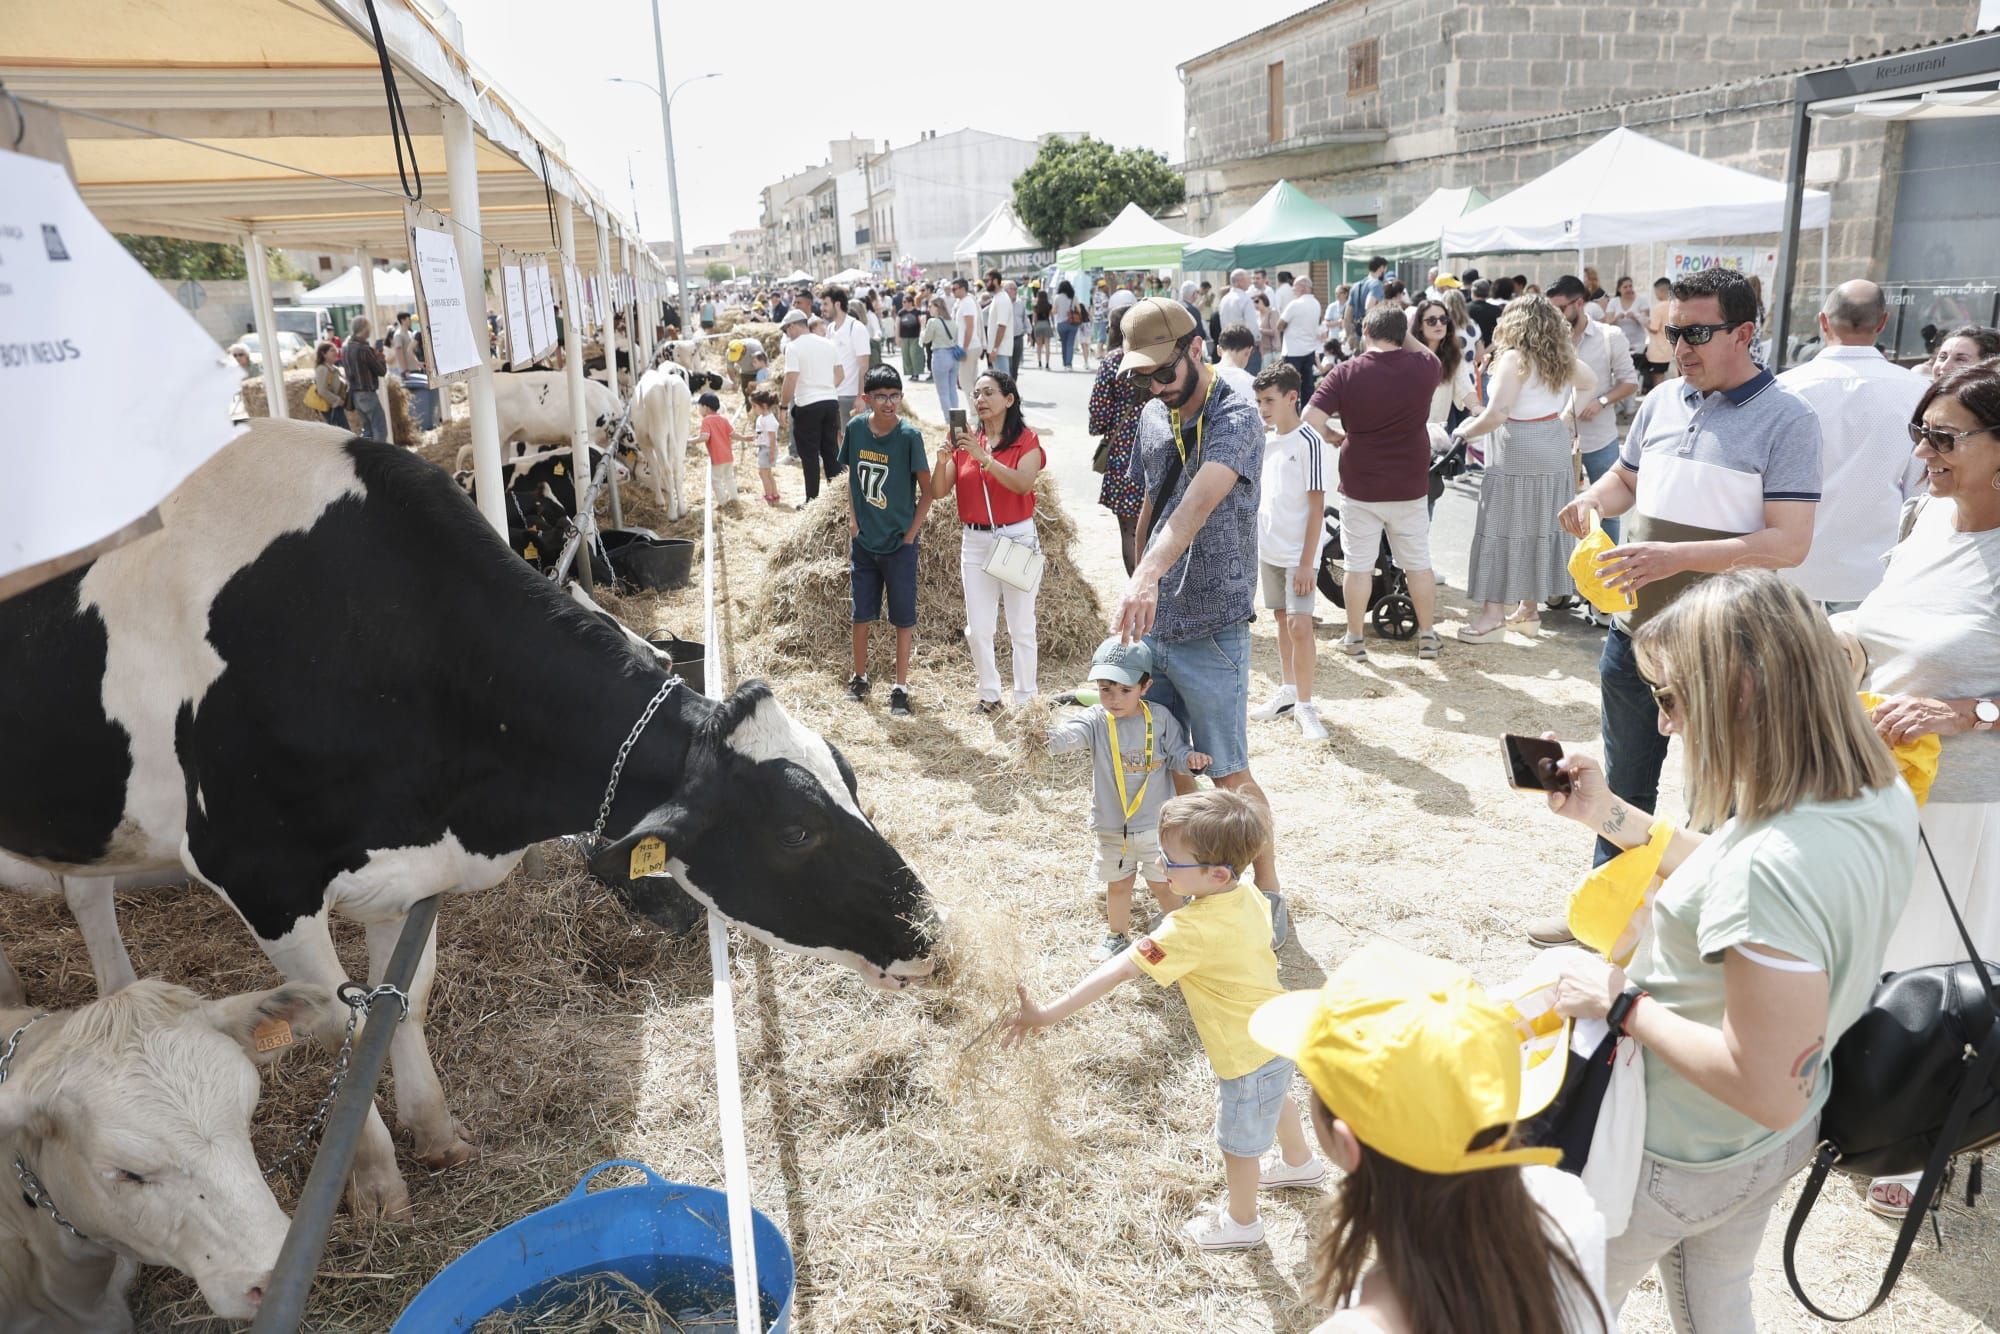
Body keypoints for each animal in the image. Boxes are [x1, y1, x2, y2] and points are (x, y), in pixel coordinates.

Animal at [0, 418, 936, 1224]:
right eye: (796, 831)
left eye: (850, 778)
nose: (930, 930)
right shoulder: (261, 877)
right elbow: (340, 1028)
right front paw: (376, 1181)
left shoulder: (410, 874)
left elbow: (399, 1004)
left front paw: (436, 1129)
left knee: (87, 895)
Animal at [632, 362, 696, 520]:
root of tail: (667, 380)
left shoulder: (644, 442)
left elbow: (655, 470)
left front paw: (660, 500)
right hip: (681, 433)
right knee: (677, 468)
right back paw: (682, 510)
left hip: (658, 436)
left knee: (666, 470)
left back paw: (672, 513)